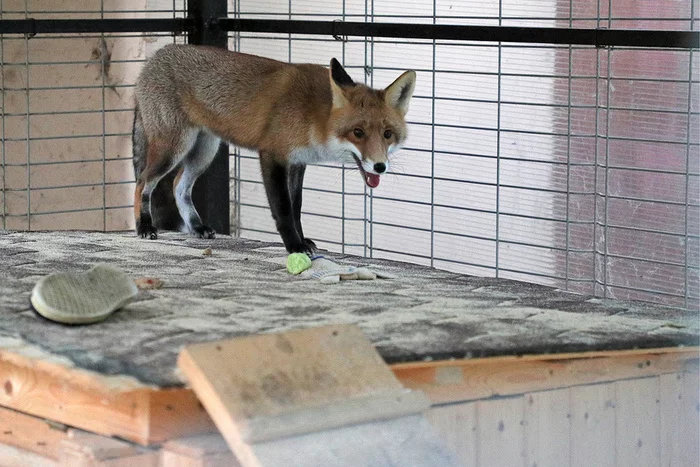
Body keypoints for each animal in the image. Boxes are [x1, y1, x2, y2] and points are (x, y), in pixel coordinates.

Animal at [134, 45, 412, 254]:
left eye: (387, 134)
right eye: (358, 133)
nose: (380, 166)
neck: (314, 116)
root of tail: (155, 57)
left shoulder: (298, 162)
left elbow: (296, 208)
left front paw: (302, 239)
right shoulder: (272, 155)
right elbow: (283, 209)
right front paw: (294, 246)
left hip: (204, 152)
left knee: (178, 185)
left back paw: (196, 226)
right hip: (174, 147)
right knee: (143, 181)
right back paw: (144, 227)